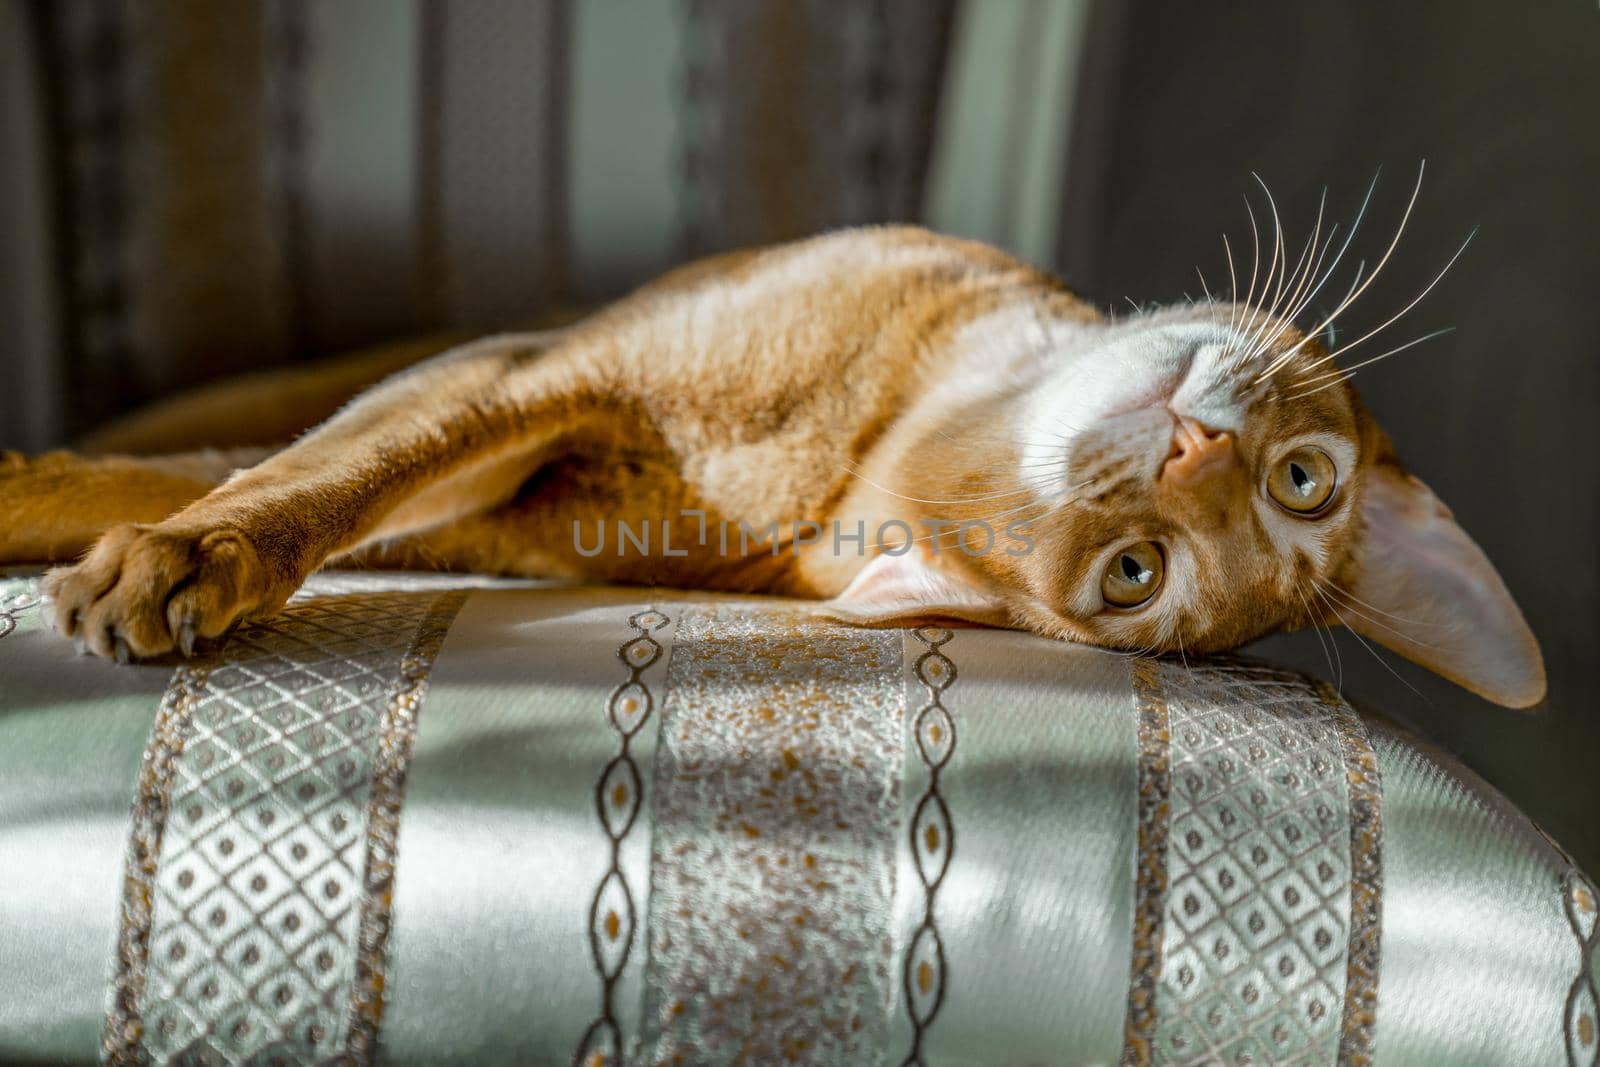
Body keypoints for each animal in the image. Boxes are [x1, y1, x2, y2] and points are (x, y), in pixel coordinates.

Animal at [3, 225, 1548, 710]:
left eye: (1133, 574)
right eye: (1307, 481)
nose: (1196, 444)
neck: (859, 432)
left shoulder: (484, 491)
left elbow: (301, 490)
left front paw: (181, 557)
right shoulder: (519, 373)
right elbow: (315, 465)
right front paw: (139, 527)